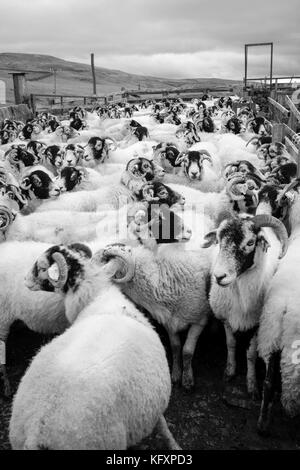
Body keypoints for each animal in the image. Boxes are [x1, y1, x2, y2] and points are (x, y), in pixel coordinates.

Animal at [202, 212, 288, 396]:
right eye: (219, 241)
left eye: (250, 242)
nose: (219, 276)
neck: (239, 296)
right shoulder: (226, 319)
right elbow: (231, 344)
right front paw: (229, 371)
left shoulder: (256, 324)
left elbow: (251, 354)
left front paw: (252, 384)